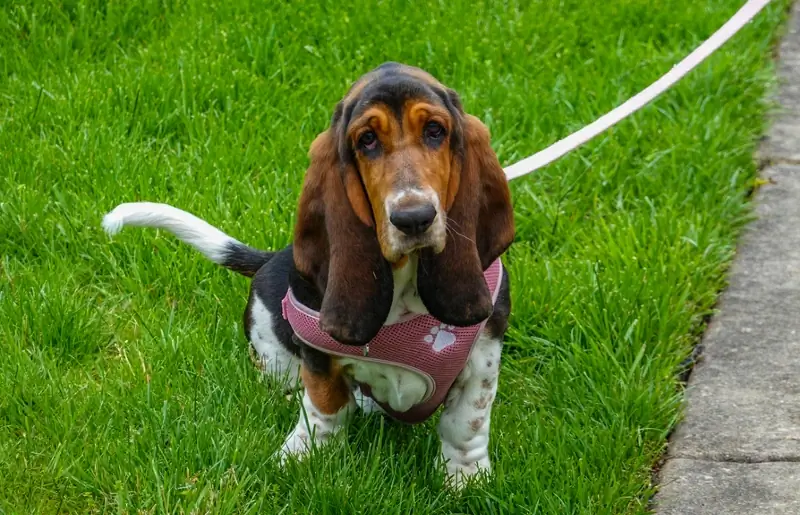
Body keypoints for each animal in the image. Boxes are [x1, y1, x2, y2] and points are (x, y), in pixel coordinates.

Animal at [103, 62, 516, 490]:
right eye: (367, 140)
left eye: (435, 130)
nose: (413, 218)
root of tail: (273, 259)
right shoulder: (318, 356)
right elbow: (325, 409)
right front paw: (303, 458)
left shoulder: (482, 356)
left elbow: (465, 422)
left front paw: (464, 478)